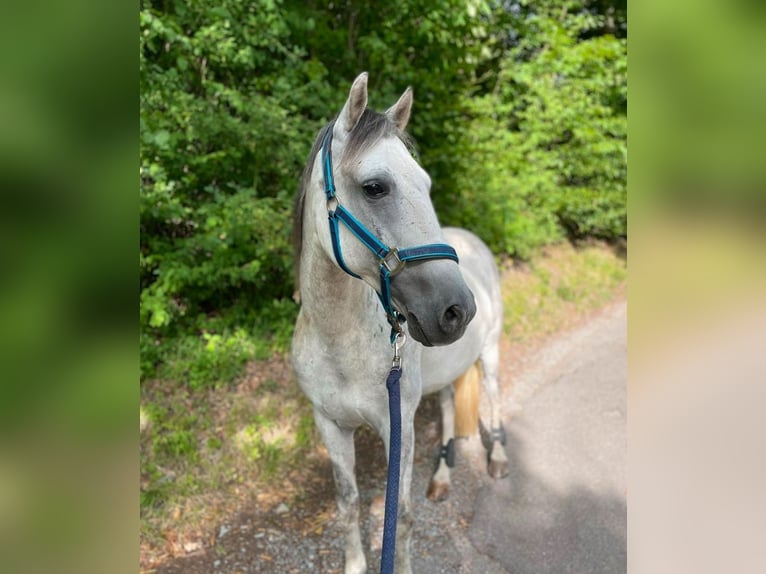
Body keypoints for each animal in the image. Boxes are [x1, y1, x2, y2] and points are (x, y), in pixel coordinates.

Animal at [292, 73, 508, 574]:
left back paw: (499, 458)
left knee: (492, 398)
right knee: (448, 412)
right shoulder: (331, 426)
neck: (339, 344)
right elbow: (348, 503)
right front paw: (354, 563)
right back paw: (444, 476)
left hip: (489, 353)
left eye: (426, 184)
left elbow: (403, 514)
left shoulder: (399, 427)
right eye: (375, 187)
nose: (457, 310)